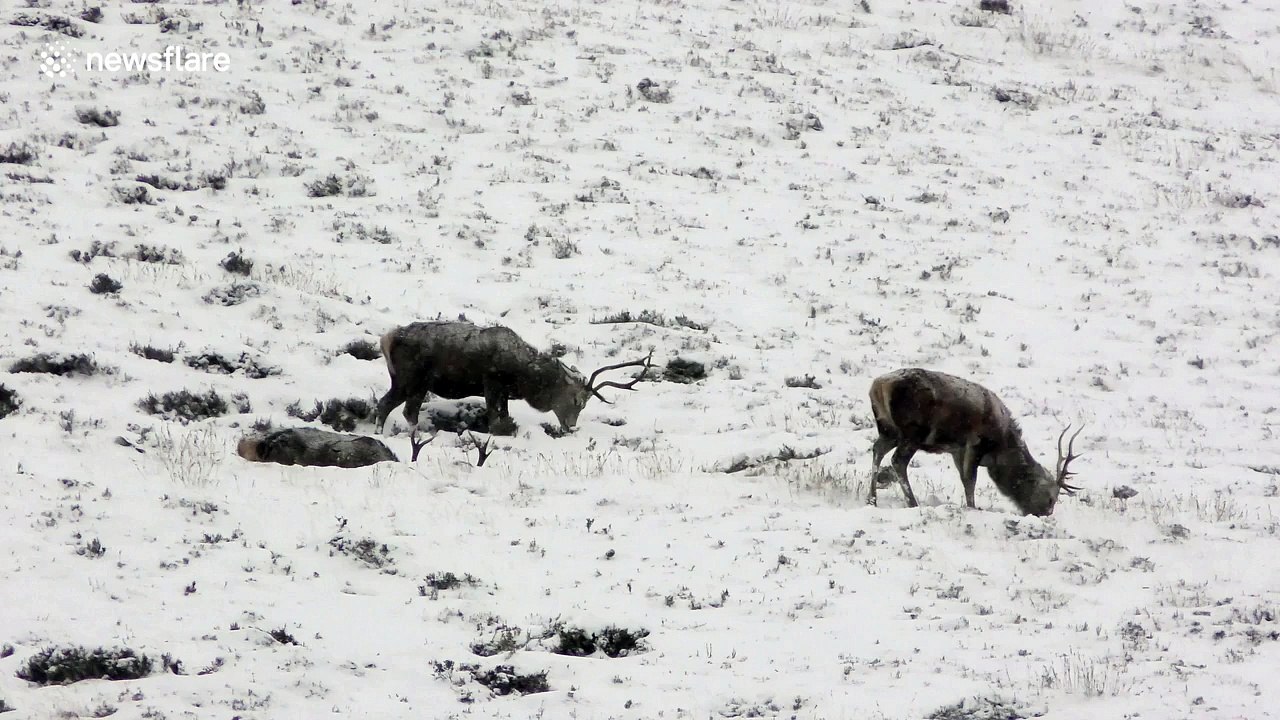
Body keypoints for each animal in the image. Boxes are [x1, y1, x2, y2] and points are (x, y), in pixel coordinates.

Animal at [374, 321, 652, 436]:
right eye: (576, 400)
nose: (571, 426)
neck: (523, 377)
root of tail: (386, 339)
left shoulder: (504, 391)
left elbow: (505, 414)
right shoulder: (491, 382)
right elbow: (494, 417)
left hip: (403, 381)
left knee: (385, 405)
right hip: (414, 380)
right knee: (406, 410)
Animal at [867, 368, 1082, 516]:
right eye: (1051, 498)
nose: (1044, 515)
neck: (1001, 449)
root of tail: (879, 386)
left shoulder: (957, 450)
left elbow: (964, 478)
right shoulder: (976, 444)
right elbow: (970, 480)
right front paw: (972, 507)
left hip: (888, 429)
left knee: (877, 450)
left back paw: (872, 499)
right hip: (913, 432)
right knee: (897, 460)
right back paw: (912, 502)